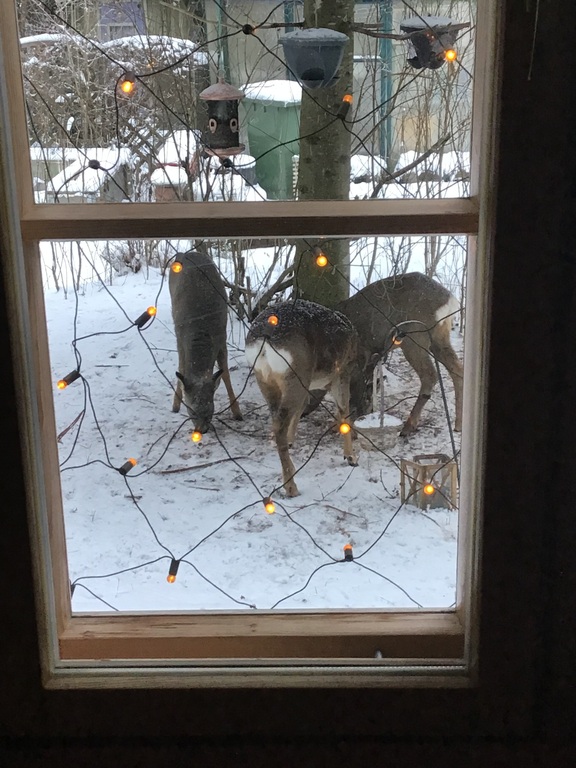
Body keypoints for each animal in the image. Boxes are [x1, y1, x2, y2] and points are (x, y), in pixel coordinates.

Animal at [169, 250, 242, 433]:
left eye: (211, 409)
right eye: (191, 411)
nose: (201, 430)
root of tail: (184, 253)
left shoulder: (222, 337)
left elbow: (225, 374)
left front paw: (237, 412)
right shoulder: (180, 336)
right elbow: (181, 366)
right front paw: (175, 404)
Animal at [245, 300, 359, 497]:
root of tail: (265, 336)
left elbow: (300, 410)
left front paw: (292, 441)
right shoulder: (342, 371)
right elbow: (343, 409)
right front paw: (350, 456)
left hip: (265, 379)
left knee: (277, 418)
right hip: (295, 373)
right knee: (280, 424)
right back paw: (291, 486)